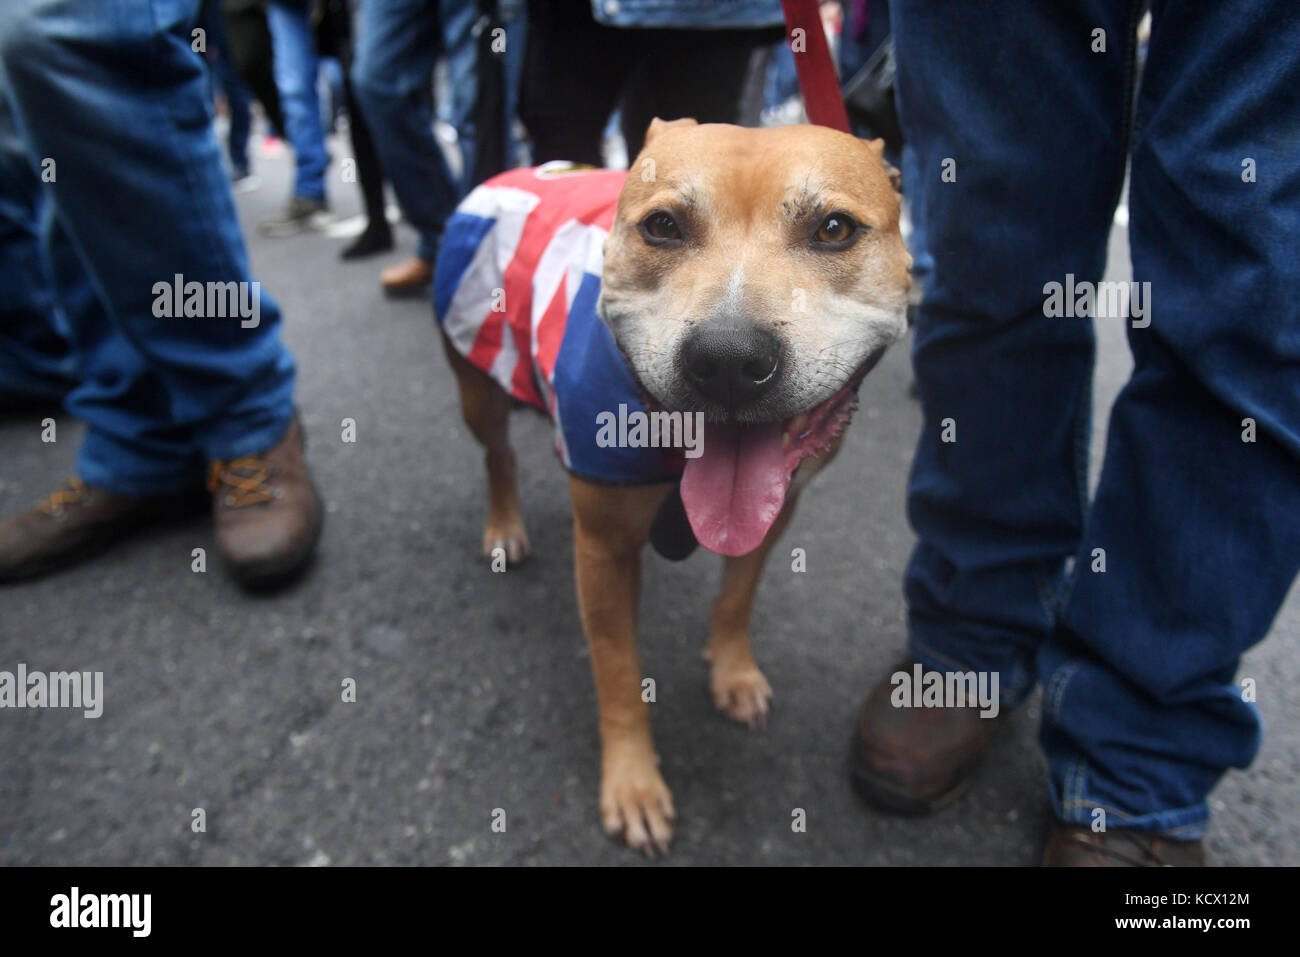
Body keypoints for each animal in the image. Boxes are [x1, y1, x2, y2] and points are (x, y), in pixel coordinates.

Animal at [431, 119, 909, 852]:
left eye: (834, 228)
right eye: (662, 227)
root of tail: (506, 173)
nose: (730, 360)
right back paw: (505, 525)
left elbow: (736, 598)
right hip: (476, 383)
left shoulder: (780, 510)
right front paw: (632, 782)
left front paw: (732, 671)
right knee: (498, 456)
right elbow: (618, 673)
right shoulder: (602, 549)